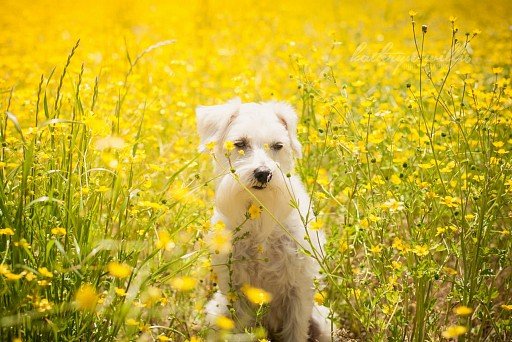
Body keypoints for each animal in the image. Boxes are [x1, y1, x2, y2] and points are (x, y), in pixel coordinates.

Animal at [196, 97, 332, 340]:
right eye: (239, 143)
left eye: (278, 145)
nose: (263, 173)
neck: (258, 213)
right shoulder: (236, 290)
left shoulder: (299, 289)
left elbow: (296, 329)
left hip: (323, 322)